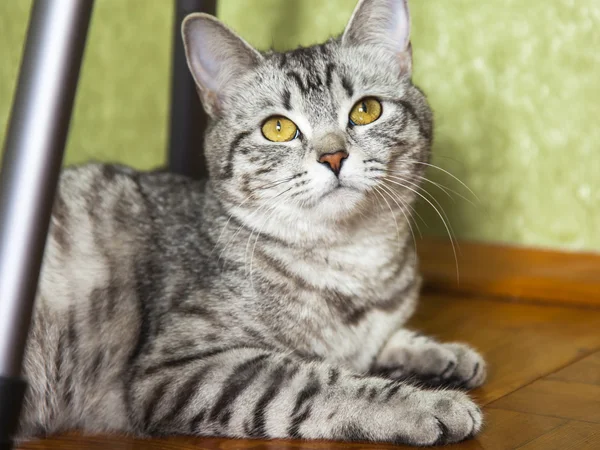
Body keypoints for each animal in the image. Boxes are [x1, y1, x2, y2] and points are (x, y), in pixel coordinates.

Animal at [18, 0, 488, 444]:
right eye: (278, 128)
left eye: (366, 110)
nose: (334, 156)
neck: (355, 261)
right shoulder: (183, 367)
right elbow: (317, 381)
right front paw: (425, 404)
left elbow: (381, 341)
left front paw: (440, 353)